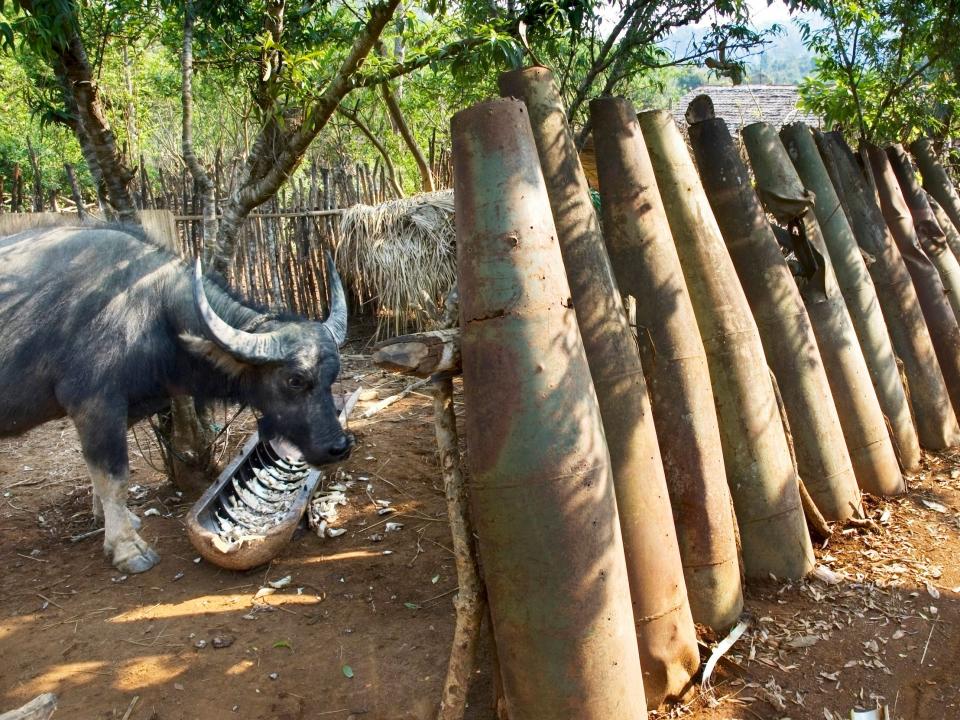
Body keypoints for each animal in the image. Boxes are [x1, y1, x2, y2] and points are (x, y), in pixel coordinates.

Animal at [0, 225, 352, 572]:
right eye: (295, 380)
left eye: (332, 375)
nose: (338, 447)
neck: (153, 312)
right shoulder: (95, 406)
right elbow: (114, 477)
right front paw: (127, 548)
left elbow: (97, 471)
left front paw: (114, 519)